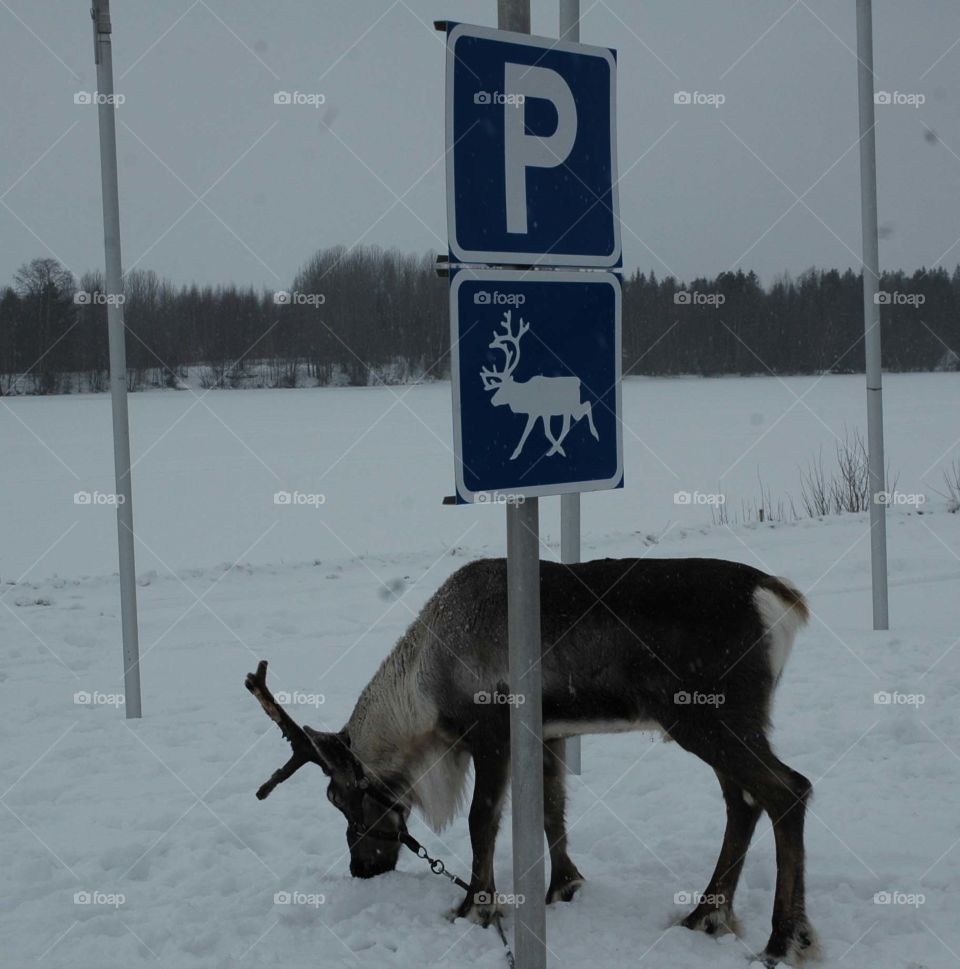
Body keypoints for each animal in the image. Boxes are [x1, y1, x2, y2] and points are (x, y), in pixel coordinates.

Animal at [246, 555, 819, 967]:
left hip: (710, 719)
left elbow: (481, 821)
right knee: (744, 803)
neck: (424, 688)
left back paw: (782, 941)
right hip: (723, 725)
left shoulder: (492, 734)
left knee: (788, 790)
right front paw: (563, 886)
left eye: (343, 798)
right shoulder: (547, 735)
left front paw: (475, 907)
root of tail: (782, 599)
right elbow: (551, 808)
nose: (361, 868)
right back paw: (706, 917)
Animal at [479, 311, 599, 460]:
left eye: (504, 388)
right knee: (568, 424)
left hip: (571, 406)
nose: (492, 401)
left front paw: (515, 453)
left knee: (587, 405)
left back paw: (595, 434)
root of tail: (578, 382)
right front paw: (556, 450)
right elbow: (542, 431)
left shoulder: (538, 412)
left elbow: (534, 430)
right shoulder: (540, 413)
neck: (524, 397)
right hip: (567, 410)